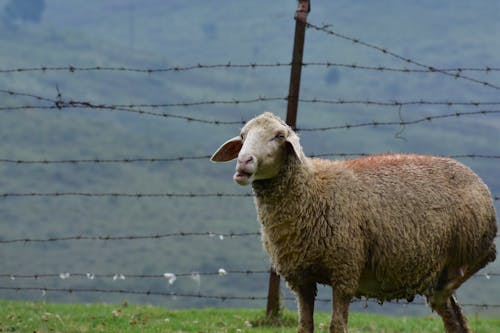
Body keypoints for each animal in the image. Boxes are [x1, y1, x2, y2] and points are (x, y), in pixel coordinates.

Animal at [210, 112, 496, 332]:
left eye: (279, 136)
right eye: (243, 136)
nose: (243, 161)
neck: (312, 191)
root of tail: (476, 179)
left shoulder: (345, 270)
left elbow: (337, 326)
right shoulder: (301, 279)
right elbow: (304, 326)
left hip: (473, 241)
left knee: (484, 259)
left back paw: (444, 291)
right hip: (440, 266)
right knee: (455, 319)